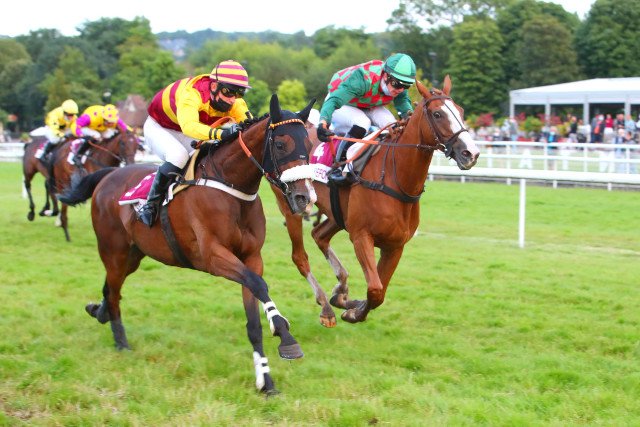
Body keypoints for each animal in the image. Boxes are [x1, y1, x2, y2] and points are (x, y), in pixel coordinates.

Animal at [58, 95, 317, 394]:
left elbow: (254, 317)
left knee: (111, 287)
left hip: (133, 255)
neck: (230, 187)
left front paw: (266, 381)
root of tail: (108, 175)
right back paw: (120, 341)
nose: (303, 197)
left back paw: (99, 312)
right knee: (113, 290)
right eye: (281, 144)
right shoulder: (212, 257)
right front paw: (284, 334)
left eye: (309, 144)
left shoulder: (251, 257)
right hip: (114, 250)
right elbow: (259, 285)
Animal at [271, 76, 480, 327]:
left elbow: (379, 292)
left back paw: (341, 289)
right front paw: (353, 312)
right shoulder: (362, 236)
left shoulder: (395, 245)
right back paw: (326, 307)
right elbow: (375, 288)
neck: (395, 178)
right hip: (292, 205)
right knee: (300, 256)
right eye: (438, 114)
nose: (471, 153)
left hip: (337, 213)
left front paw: (351, 305)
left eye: (461, 111)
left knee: (319, 235)